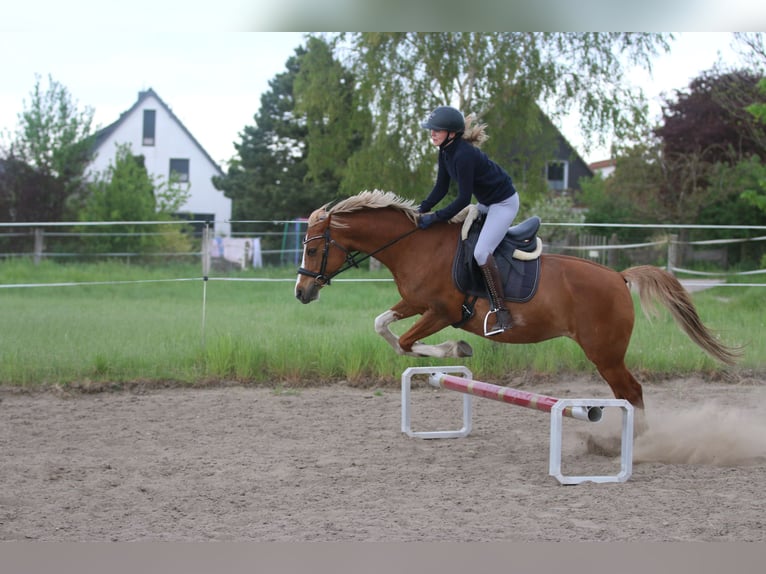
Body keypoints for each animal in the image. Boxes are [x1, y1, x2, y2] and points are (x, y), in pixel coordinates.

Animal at [294, 190, 741, 413]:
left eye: (313, 249)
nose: (301, 292)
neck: (415, 246)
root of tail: (619, 277)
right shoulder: (416, 304)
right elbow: (384, 327)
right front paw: (450, 351)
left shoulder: (442, 311)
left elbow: (406, 341)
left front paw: (457, 347)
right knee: (626, 393)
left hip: (605, 353)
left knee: (631, 391)